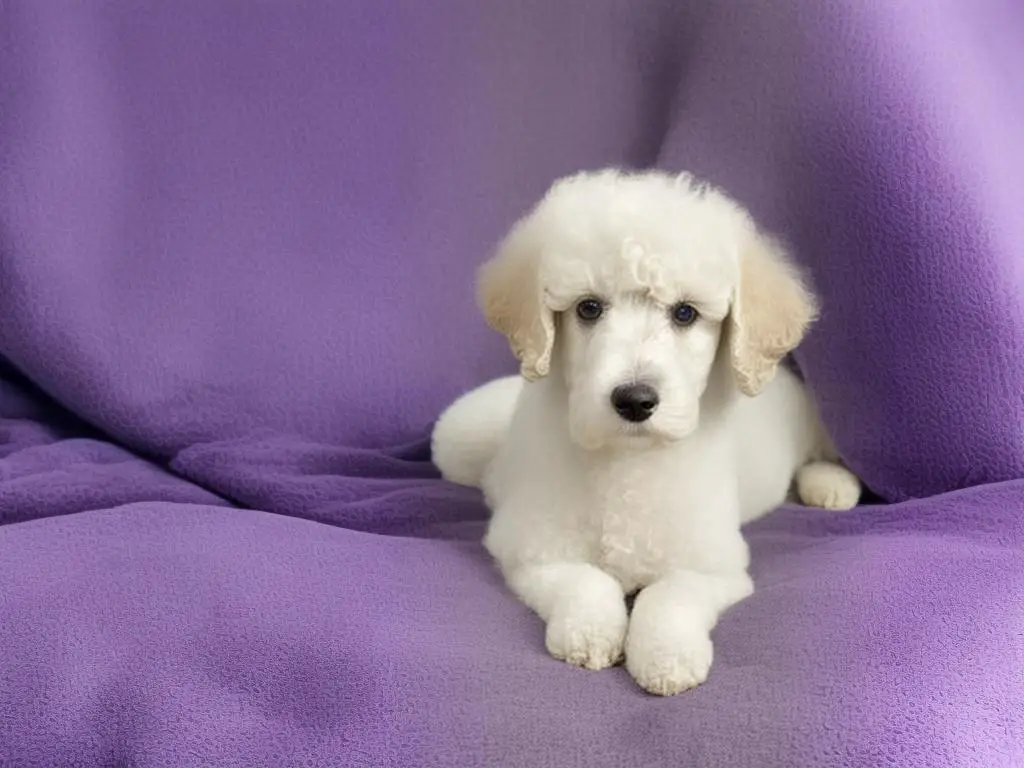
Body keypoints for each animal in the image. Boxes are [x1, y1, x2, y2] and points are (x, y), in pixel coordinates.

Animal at [428, 169, 860, 696]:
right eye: (588, 308)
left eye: (685, 313)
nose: (634, 400)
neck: (629, 459)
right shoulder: (532, 549)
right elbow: (585, 581)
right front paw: (590, 633)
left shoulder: (713, 565)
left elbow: (670, 596)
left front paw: (667, 657)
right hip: (459, 438)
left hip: (810, 416)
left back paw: (831, 484)